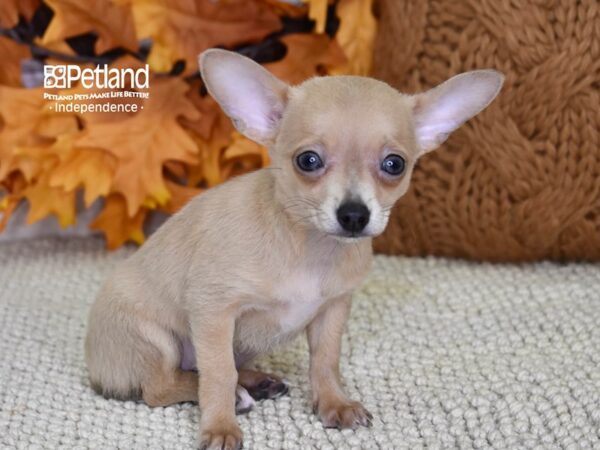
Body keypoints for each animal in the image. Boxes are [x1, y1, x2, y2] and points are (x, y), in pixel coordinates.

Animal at [84, 47, 504, 448]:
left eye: (394, 164)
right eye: (308, 160)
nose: (354, 214)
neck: (310, 248)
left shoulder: (333, 310)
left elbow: (325, 361)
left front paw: (334, 402)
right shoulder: (214, 311)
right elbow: (218, 374)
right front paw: (220, 426)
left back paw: (256, 381)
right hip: (154, 339)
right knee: (162, 386)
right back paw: (236, 394)